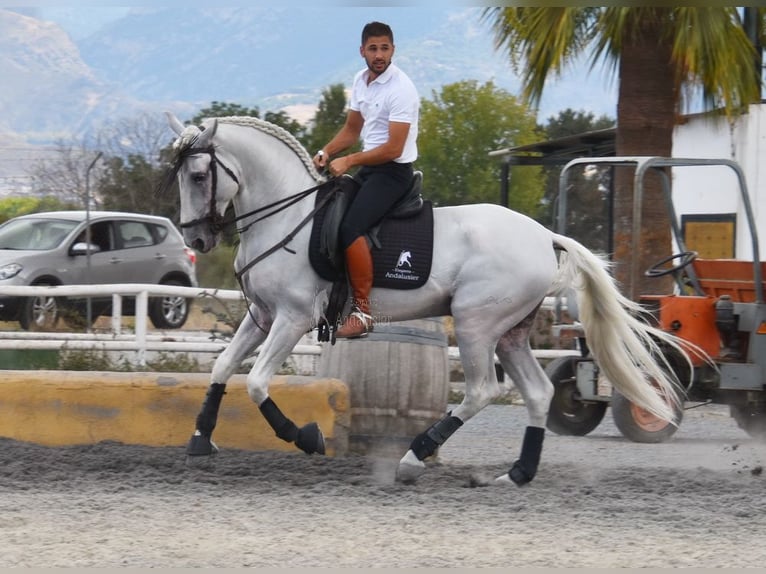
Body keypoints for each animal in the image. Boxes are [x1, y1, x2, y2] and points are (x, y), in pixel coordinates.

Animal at [165, 112, 692, 486]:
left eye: (198, 176)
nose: (197, 239)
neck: (286, 217)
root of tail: (545, 236)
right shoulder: (261, 315)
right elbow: (221, 368)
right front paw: (199, 440)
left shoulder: (292, 319)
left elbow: (255, 383)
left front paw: (306, 438)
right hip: (510, 333)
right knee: (539, 392)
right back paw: (517, 474)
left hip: (476, 325)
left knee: (481, 391)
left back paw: (413, 458)